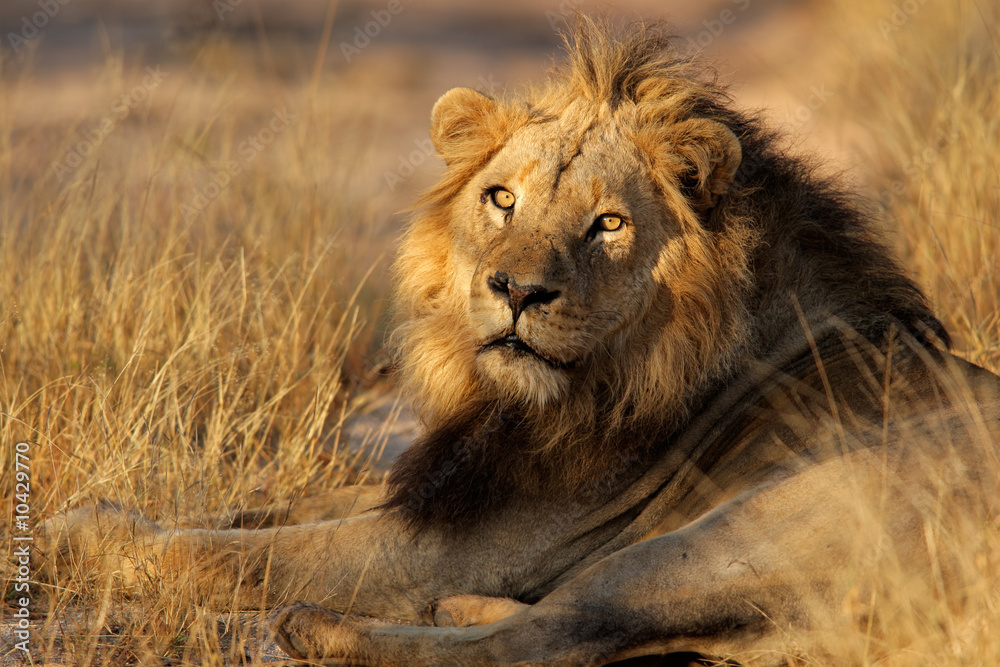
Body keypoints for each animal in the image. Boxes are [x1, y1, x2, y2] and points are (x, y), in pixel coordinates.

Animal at [39, 18, 1000, 664]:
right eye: (502, 198)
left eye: (609, 224)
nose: (516, 291)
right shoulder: (444, 485)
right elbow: (271, 508)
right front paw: (101, 512)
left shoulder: (469, 541)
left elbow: (239, 553)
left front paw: (75, 536)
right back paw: (464, 608)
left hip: (771, 510)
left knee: (558, 632)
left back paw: (325, 626)